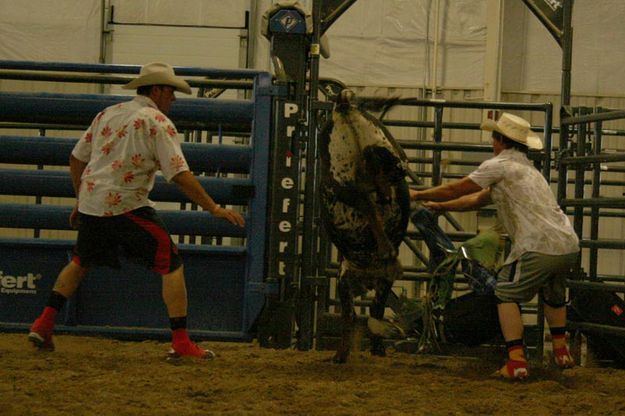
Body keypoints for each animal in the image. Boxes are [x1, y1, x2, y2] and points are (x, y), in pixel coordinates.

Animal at [320, 89, 412, 362]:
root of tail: (343, 105)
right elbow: (372, 310)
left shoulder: (346, 279)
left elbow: (356, 314)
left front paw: (342, 354)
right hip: (380, 148)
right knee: (389, 171)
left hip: (337, 175)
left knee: (365, 196)